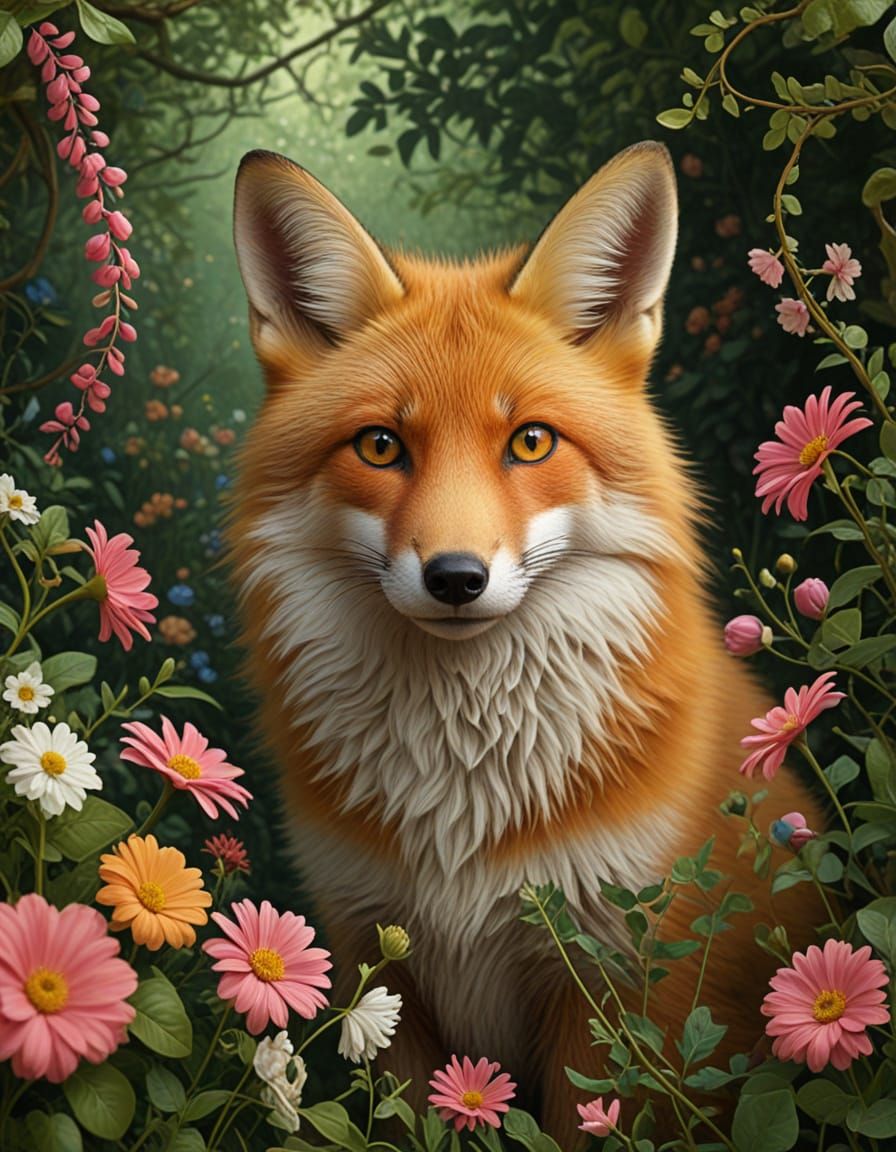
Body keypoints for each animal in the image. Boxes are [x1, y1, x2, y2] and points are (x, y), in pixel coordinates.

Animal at [229, 141, 825, 1143]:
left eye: (532, 442)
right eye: (381, 446)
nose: (456, 578)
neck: (461, 798)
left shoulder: (614, 980)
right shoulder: (377, 969)